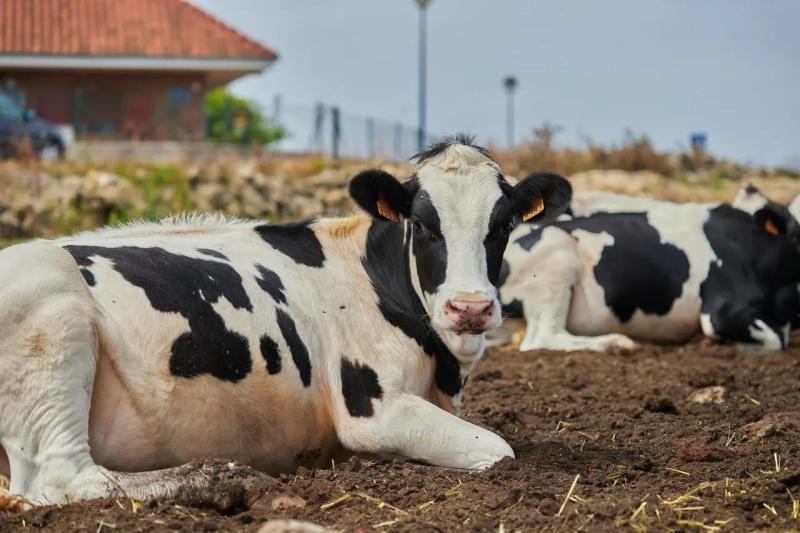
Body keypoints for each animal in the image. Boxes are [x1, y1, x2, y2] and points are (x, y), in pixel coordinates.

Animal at [0, 136, 572, 508]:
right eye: (425, 225)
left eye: (503, 226)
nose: (470, 307)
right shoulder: (372, 410)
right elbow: (500, 450)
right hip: (53, 318)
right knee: (63, 479)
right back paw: (223, 479)